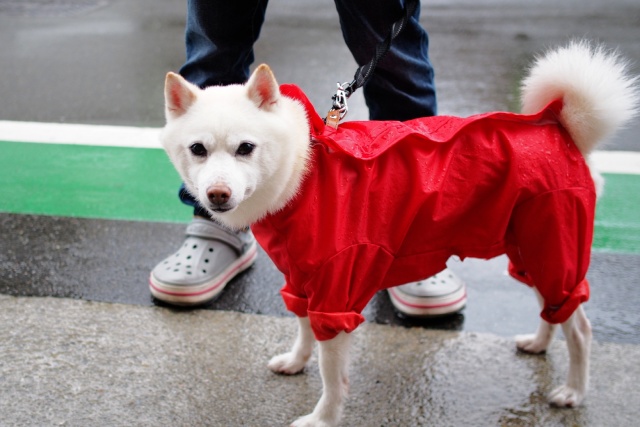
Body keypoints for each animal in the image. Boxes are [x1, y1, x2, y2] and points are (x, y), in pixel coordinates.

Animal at [160, 41, 636, 427]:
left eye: (246, 148)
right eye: (198, 150)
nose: (217, 195)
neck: (303, 172)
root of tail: (561, 128)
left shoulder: (337, 293)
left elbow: (332, 375)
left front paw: (324, 418)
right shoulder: (302, 279)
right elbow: (303, 328)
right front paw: (296, 361)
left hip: (554, 245)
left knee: (580, 328)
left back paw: (573, 391)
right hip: (534, 248)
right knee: (552, 308)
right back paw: (538, 343)